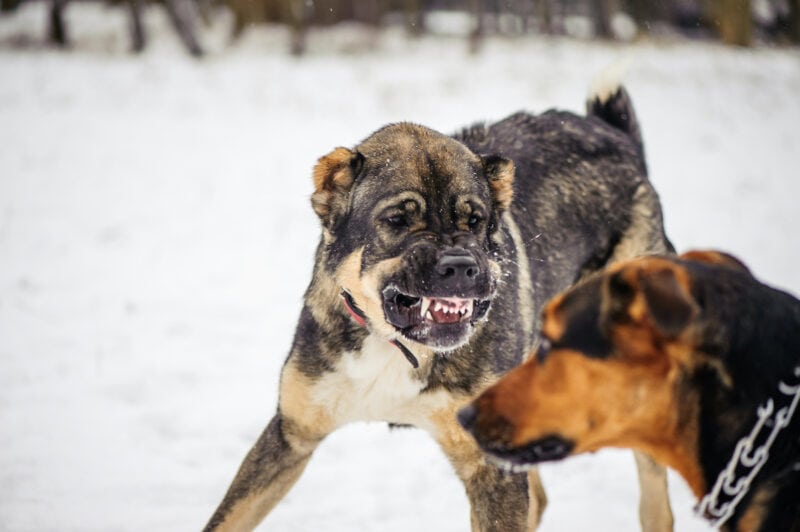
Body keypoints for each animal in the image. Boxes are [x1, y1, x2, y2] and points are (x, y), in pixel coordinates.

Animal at [202, 83, 676, 532]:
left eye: (476, 220)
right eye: (396, 220)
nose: (461, 266)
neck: (395, 345)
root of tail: (615, 136)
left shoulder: (490, 468)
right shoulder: (291, 434)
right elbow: (227, 518)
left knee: (655, 499)